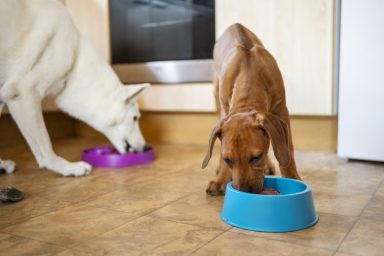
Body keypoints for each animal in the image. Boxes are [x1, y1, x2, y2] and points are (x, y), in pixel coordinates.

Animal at [0, 0, 149, 176]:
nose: (145, 148)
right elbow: (45, 147)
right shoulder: (25, 94)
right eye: (135, 118)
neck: (75, 63)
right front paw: (68, 168)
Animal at [202, 24, 302, 196]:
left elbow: (287, 148)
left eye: (256, 157)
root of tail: (234, 24)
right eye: (228, 159)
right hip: (216, 94)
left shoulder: (282, 110)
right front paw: (221, 179)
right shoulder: (225, 112)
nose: (244, 191)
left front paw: (292, 177)